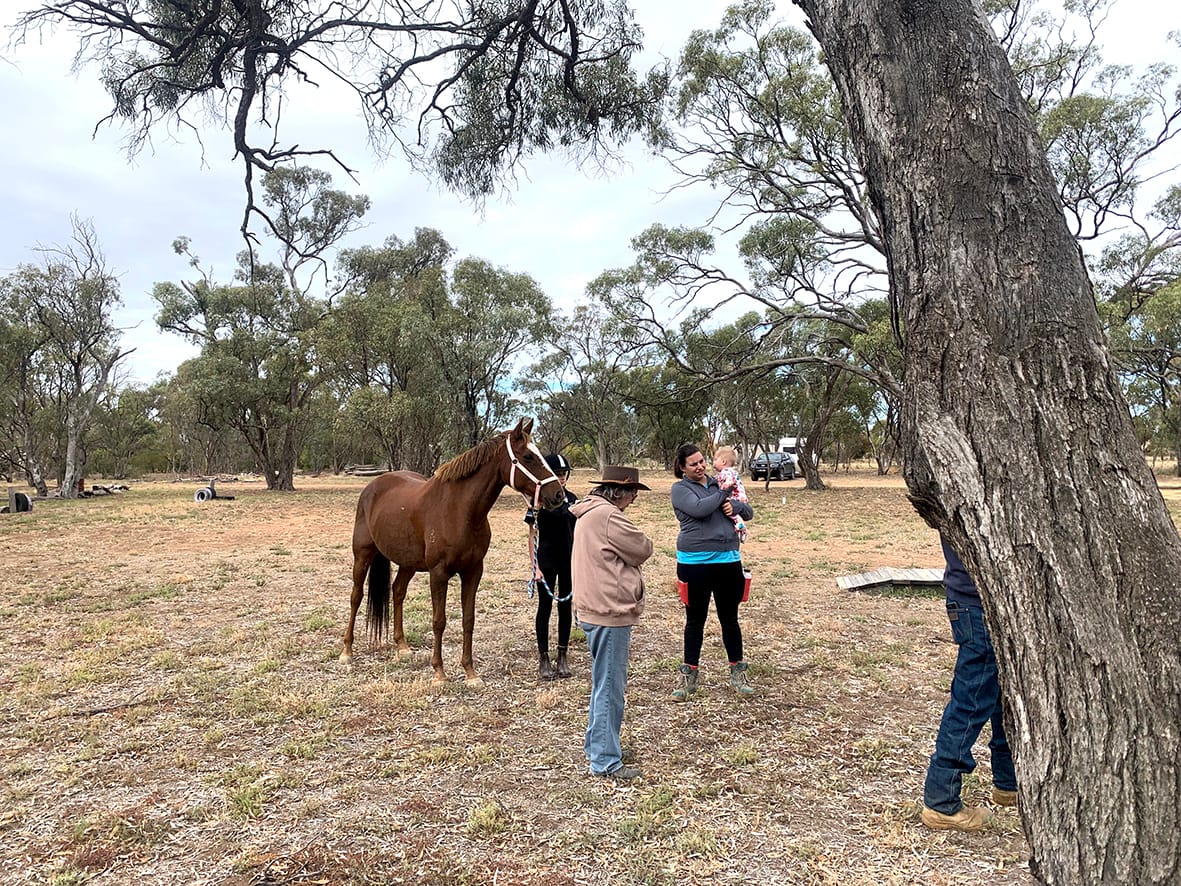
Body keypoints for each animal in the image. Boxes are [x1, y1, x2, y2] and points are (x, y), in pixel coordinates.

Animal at [341, 417, 566, 686]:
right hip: (363, 555)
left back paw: (402, 647)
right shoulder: (439, 574)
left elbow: (468, 620)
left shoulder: (473, 571)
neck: (460, 511)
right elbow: (439, 621)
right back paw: (346, 652)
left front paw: (470, 672)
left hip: (408, 563)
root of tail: (373, 486)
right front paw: (439, 672)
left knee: (397, 592)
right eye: (528, 457)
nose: (558, 495)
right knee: (356, 596)